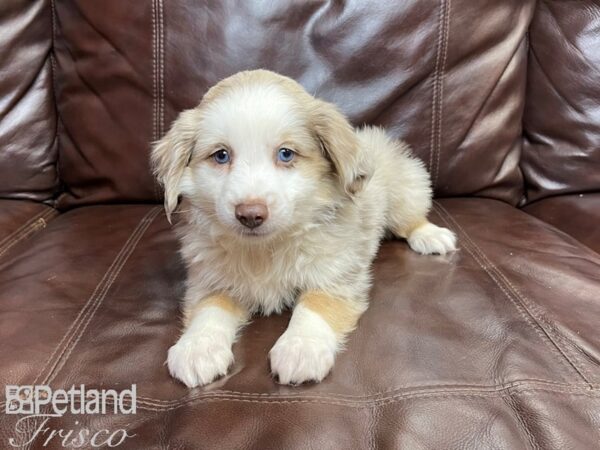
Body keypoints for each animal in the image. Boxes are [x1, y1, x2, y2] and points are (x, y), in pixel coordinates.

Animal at [151, 69, 454, 386]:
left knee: (412, 218)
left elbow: (315, 306)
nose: (250, 215)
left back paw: (431, 236)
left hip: (405, 191)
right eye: (221, 155)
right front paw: (198, 347)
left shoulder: (336, 275)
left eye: (286, 154)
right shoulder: (210, 279)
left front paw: (301, 348)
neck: (265, 250)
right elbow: (209, 309)